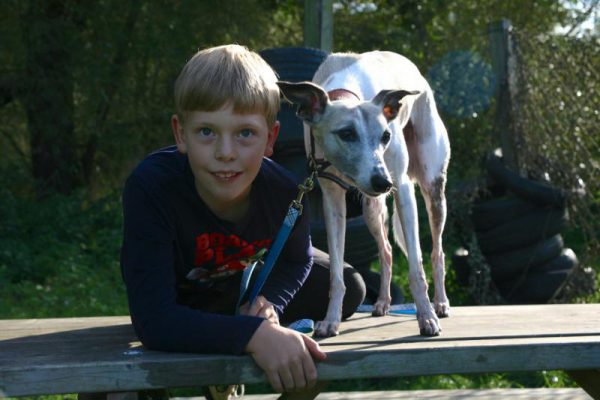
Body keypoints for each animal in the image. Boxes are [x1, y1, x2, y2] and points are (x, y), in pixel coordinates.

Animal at [276, 50, 450, 338]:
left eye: (385, 136)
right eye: (346, 133)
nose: (383, 182)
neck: (345, 90)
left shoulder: (403, 190)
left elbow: (416, 269)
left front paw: (426, 318)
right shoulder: (332, 199)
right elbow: (336, 274)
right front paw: (330, 321)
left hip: (432, 190)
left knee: (437, 252)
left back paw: (441, 303)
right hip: (371, 208)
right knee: (387, 250)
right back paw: (382, 302)